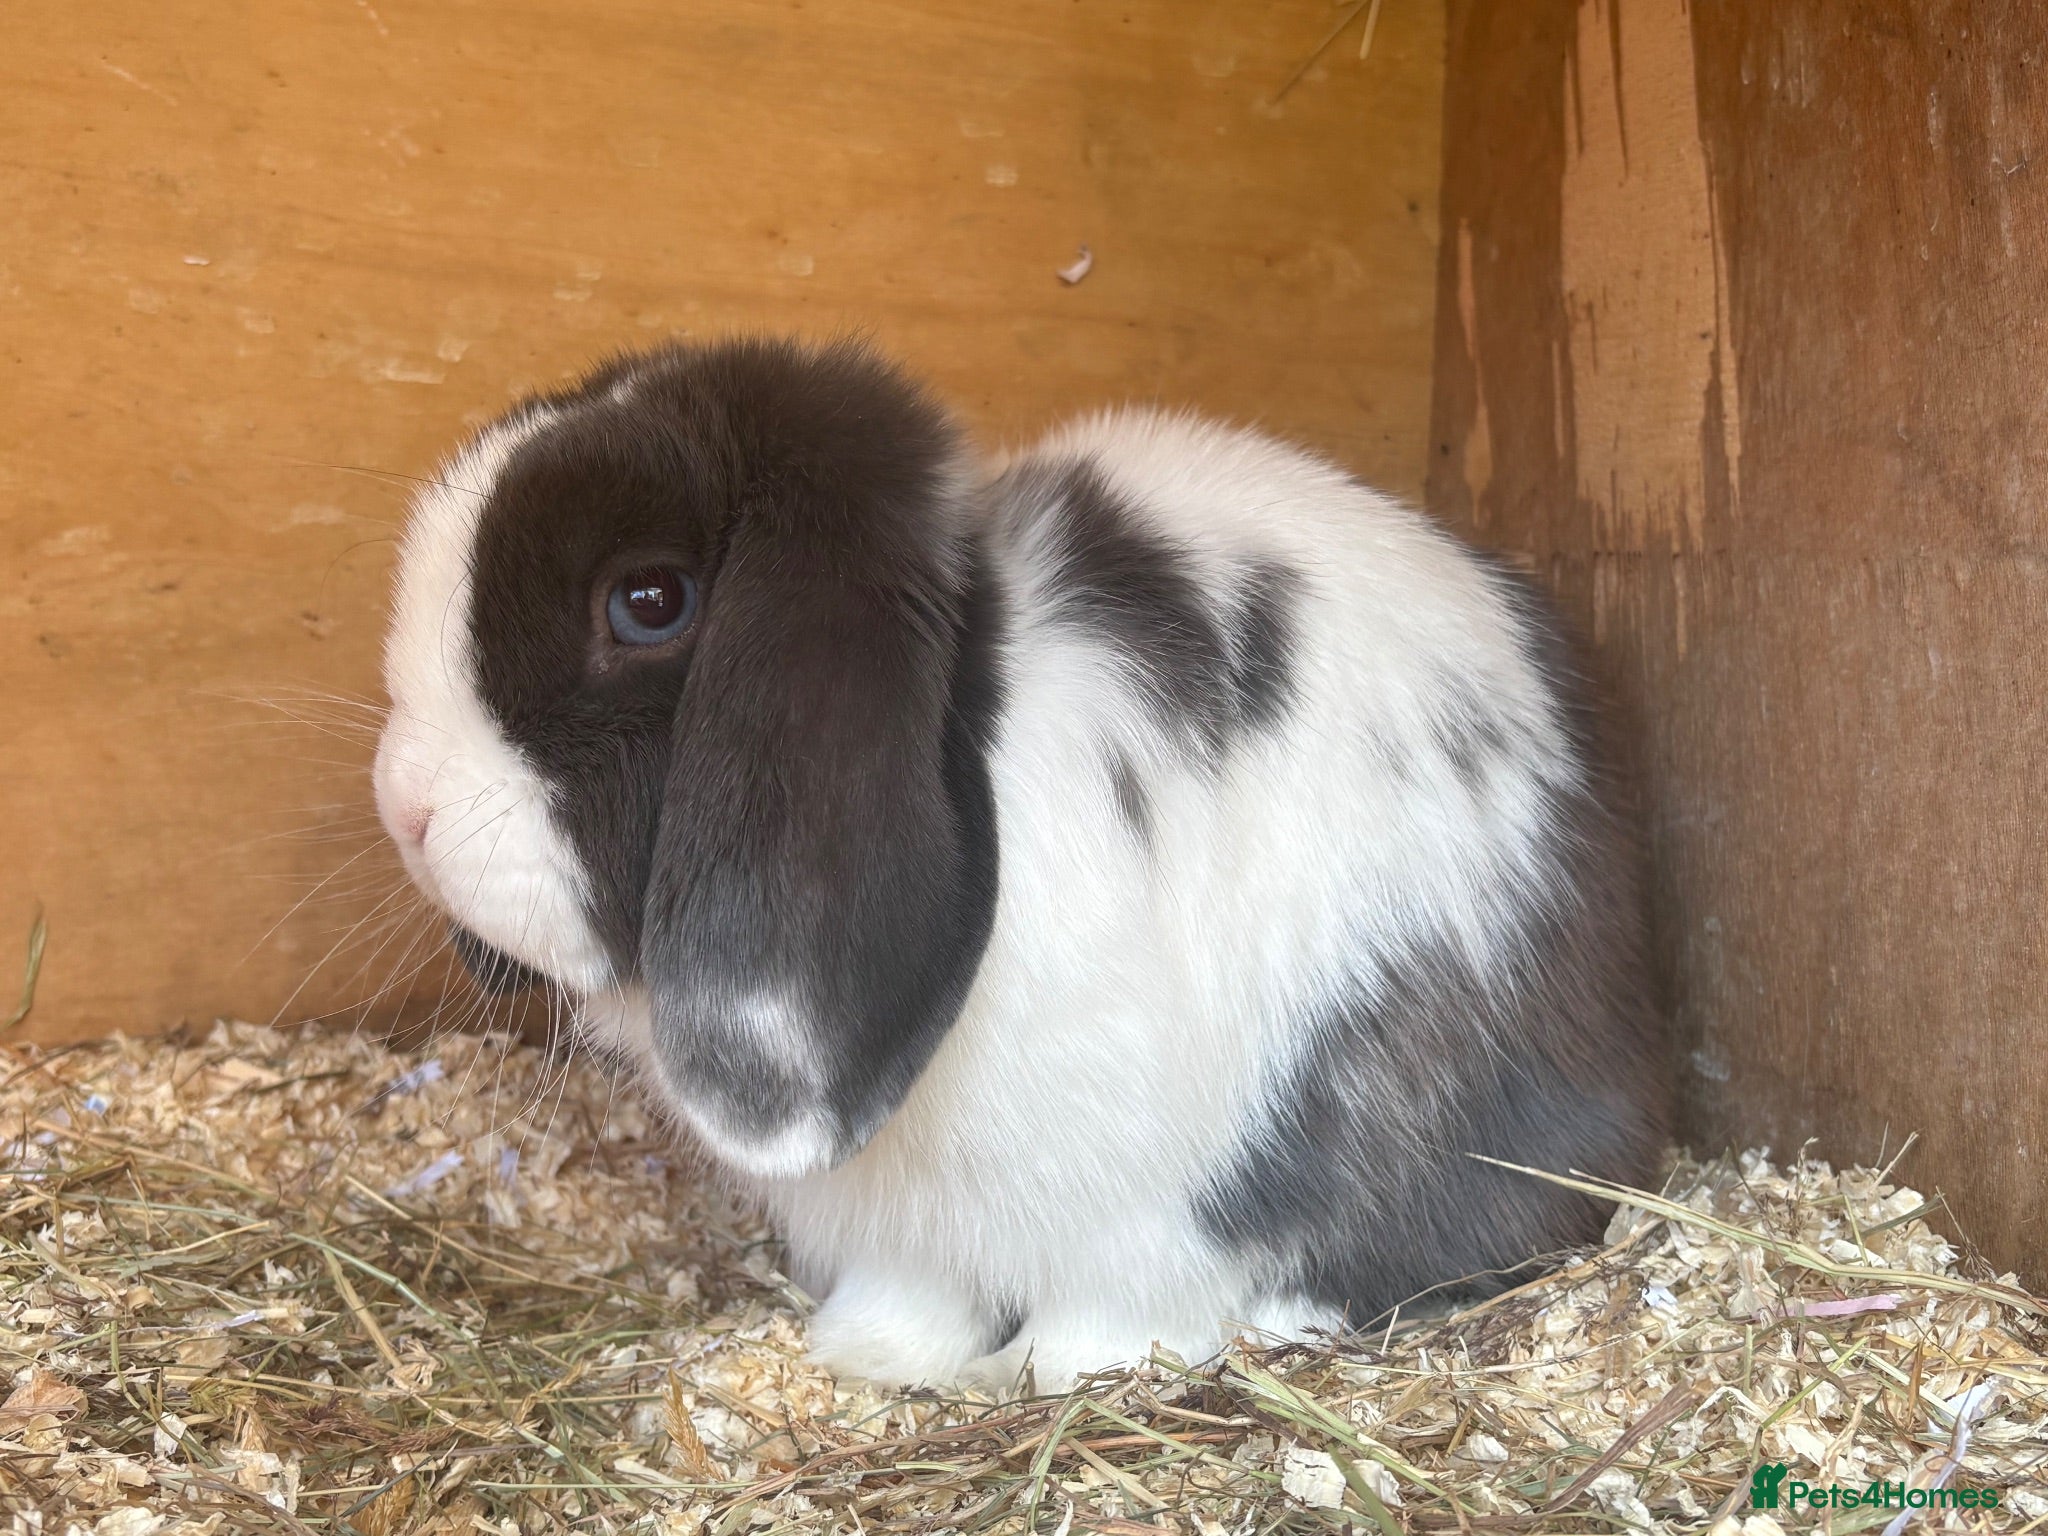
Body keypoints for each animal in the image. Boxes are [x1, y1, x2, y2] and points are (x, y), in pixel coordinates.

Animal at [372, 336, 1668, 1390]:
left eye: (648, 600)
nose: (406, 804)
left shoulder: (1142, 1218)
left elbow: (1110, 1321)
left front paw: (1035, 1378)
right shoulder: (907, 1238)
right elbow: (913, 1300)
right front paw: (867, 1358)